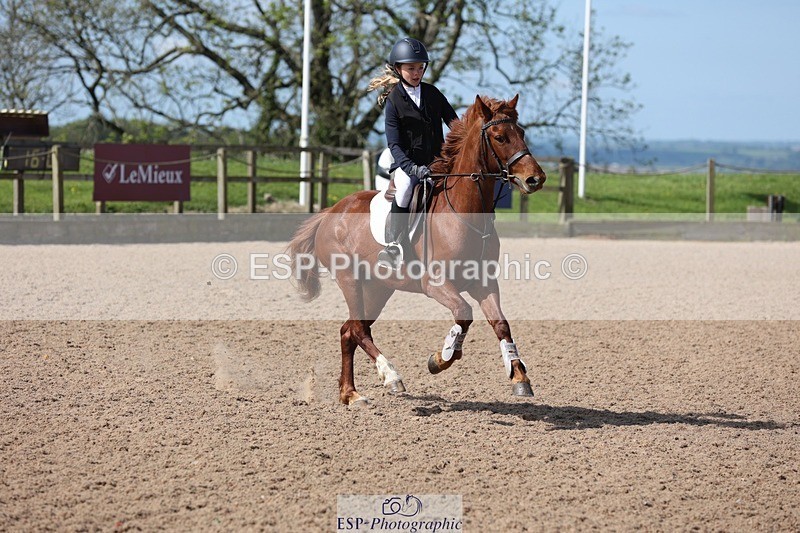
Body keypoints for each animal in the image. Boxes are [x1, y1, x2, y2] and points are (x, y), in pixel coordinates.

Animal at [288, 94, 546, 405]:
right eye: (499, 137)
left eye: (521, 133)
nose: (535, 179)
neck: (464, 212)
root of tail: (330, 212)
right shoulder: (436, 284)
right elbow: (463, 313)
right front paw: (442, 358)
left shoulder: (483, 282)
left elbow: (501, 324)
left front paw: (519, 377)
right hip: (350, 280)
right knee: (358, 329)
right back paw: (391, 377)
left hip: (379, 287)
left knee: (349, 331)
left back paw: (350, 393)